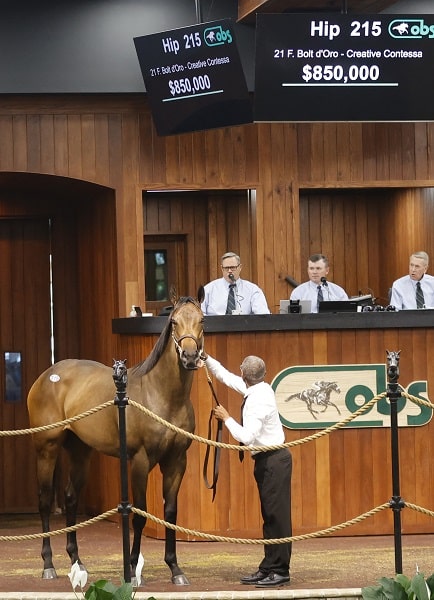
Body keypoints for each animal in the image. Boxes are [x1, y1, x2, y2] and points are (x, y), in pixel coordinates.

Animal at [27, 288, 205, 584]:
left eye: (202, 320)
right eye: (173, 322)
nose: (189, 357)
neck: (162, 396)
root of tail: (47, 375)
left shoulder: (177, 461)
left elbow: (170, 512)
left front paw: (175, 568)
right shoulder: (140, 462)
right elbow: (139, 514)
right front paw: (131, 568)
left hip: (80, 451)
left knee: (70, 497)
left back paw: (77, 562)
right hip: (46, 448)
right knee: (43, 500)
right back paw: (48, 565)